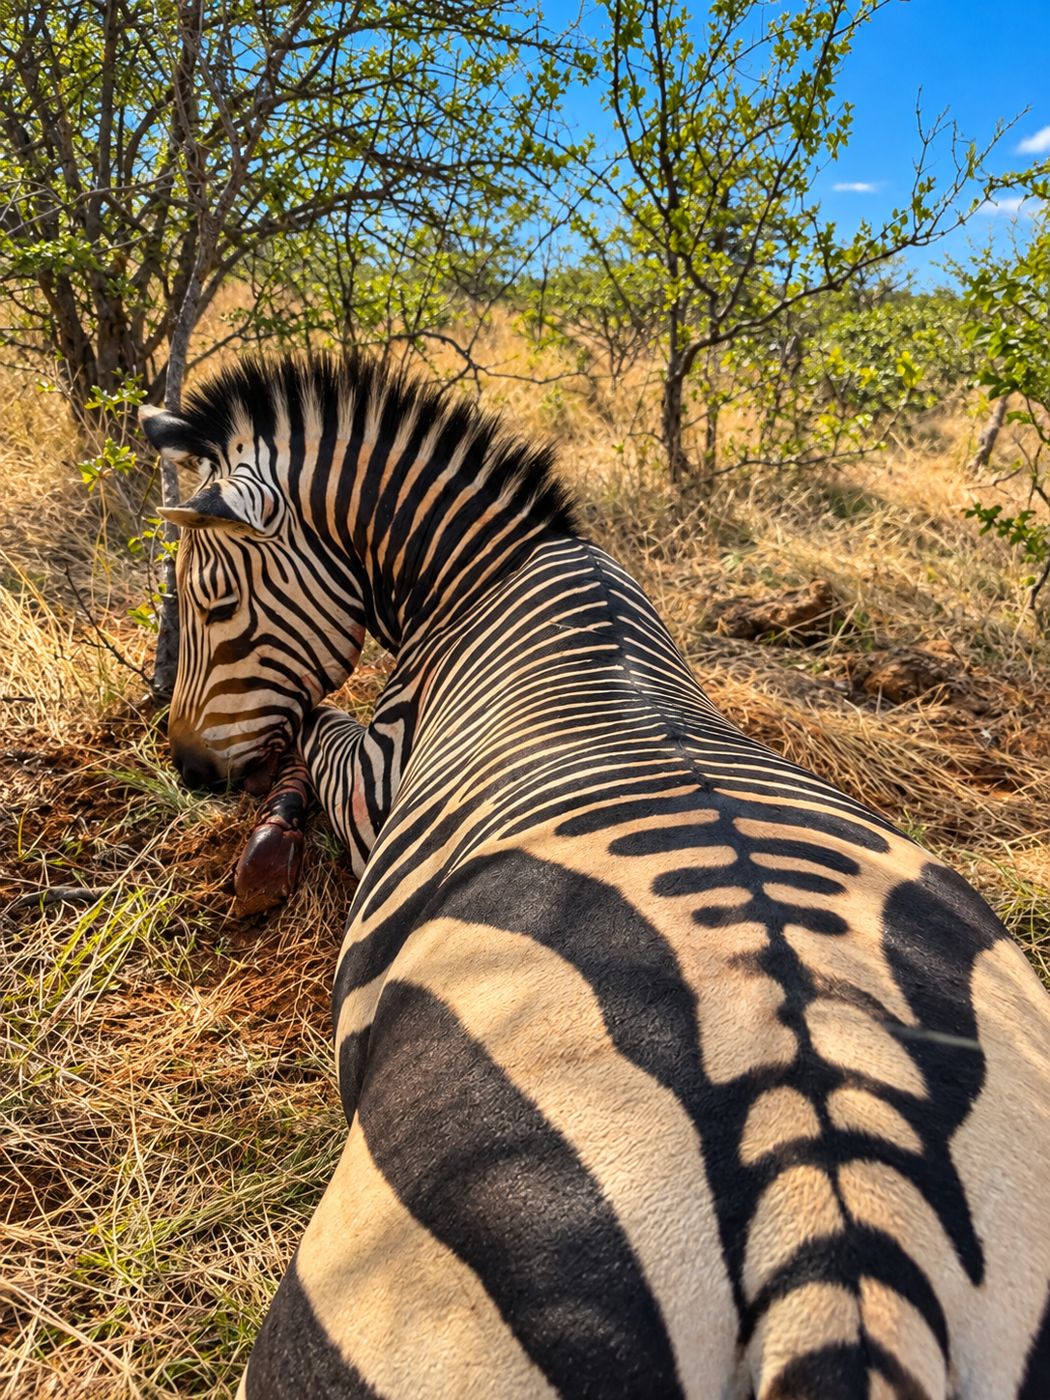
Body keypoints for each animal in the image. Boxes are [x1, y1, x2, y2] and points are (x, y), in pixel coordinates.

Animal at [141, 353, 1050, 1399]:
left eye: (214, 603)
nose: (189, 769)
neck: (484, 578)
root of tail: (842, 1215)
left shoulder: (377, 770)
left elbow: (312, 732)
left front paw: (268, 844)